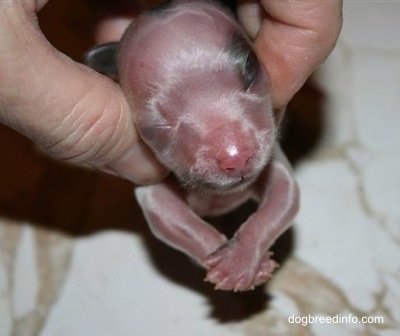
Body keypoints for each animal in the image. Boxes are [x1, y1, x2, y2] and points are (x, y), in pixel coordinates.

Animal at [87, 0, 300, 292]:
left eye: (250, 73)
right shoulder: (154, 181)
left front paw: (243, 256)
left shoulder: (271, 154)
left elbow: (284, 194)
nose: (235, 157)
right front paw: (228, 258)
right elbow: (169, 216)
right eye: (157, 120)